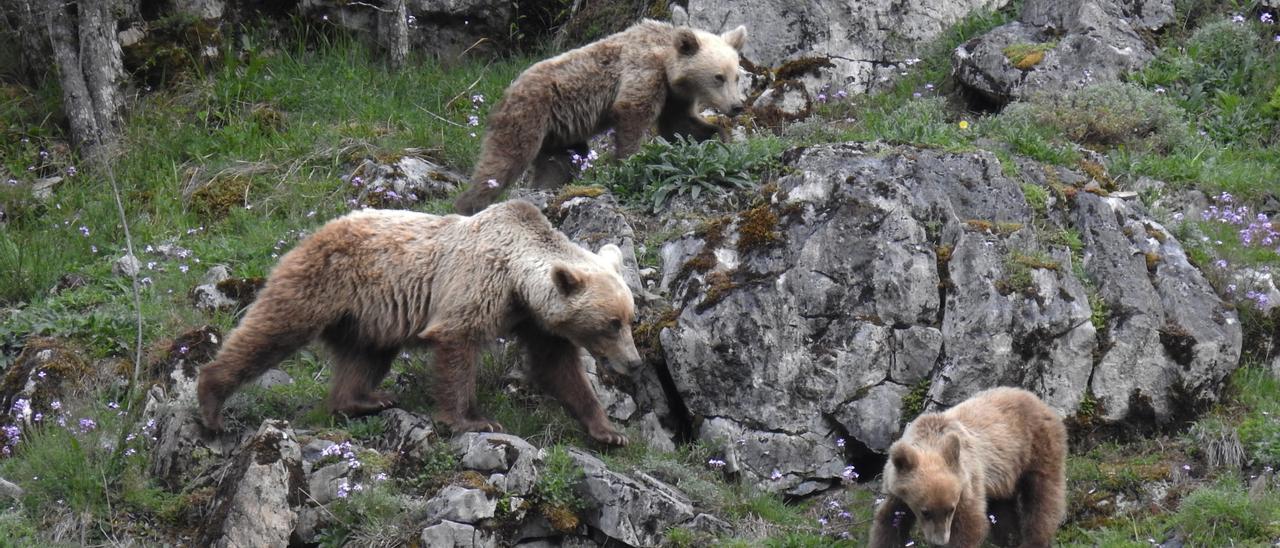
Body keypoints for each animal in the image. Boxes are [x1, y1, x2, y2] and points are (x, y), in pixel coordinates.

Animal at [193, 201, 640, 445]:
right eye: (611, 323)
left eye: (630, 319)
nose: (634, 362)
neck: (517, 280)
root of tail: (318, 228)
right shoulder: (475, 283)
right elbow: (456, 343)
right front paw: (472, 419)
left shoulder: (533, 319)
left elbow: (558, 367)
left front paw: (608, 430)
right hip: (323, 282)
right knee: (272, 329)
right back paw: (212, 402)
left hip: (367, 315)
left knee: (366, 356)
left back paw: (364, 399)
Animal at [453, 18, 747, 213]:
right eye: (718, 77)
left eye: (736, 75)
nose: (737, 106)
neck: (667, 63)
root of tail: (507, 90)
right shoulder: (644, 71)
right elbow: (632, 114)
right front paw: (629, 163)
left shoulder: (673, 97)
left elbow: (680, 125)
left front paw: (719, 135)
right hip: (527, 116)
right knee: (503, 162)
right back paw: (468, 206)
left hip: (560, 134)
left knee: (558, 163)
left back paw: (544, 190)